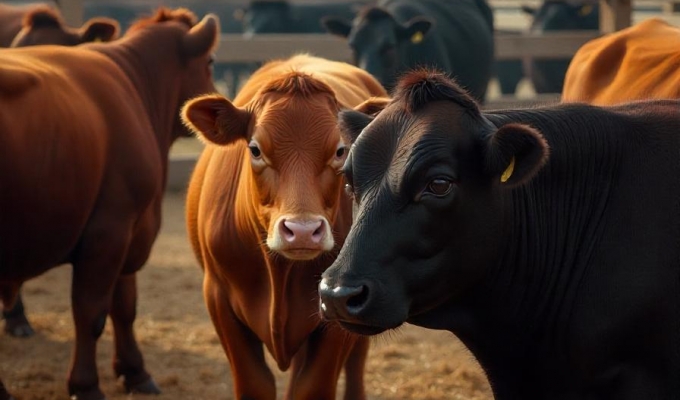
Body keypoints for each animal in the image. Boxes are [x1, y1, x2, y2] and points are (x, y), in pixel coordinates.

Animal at [180, 54, 387, 400]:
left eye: (340, 150)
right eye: (255, 149)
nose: (302, 230)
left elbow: (312, 387)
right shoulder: (218, 297)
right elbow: (256, 384)